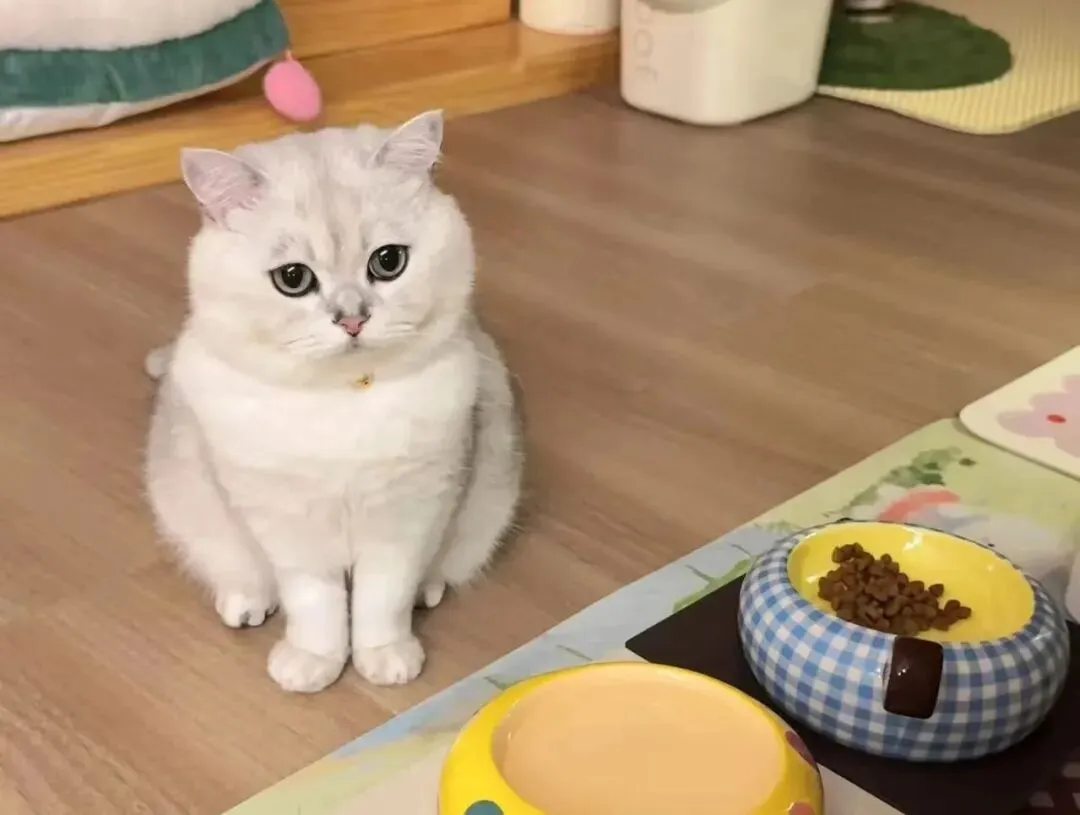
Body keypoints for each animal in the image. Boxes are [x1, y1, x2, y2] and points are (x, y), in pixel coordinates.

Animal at [143, 110, 524, 693]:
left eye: (388, 262)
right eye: (293, 279)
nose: (352, 319)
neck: (341, 401)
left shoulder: (410, 513)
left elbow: (382, 596)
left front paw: (384, 657)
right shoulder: (286, 528)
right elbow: (315, 602)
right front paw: (312, 661)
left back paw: (429, 590)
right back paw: (245, 602)